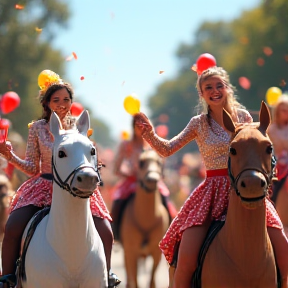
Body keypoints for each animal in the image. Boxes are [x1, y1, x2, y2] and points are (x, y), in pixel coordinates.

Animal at [120, 150, 170, 288]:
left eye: (159, 162)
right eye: (141, 163)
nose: (152, 180)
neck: (146, 220)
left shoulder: (156, 252)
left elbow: (152, 280)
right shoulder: (131, 251)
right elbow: (134, 280)